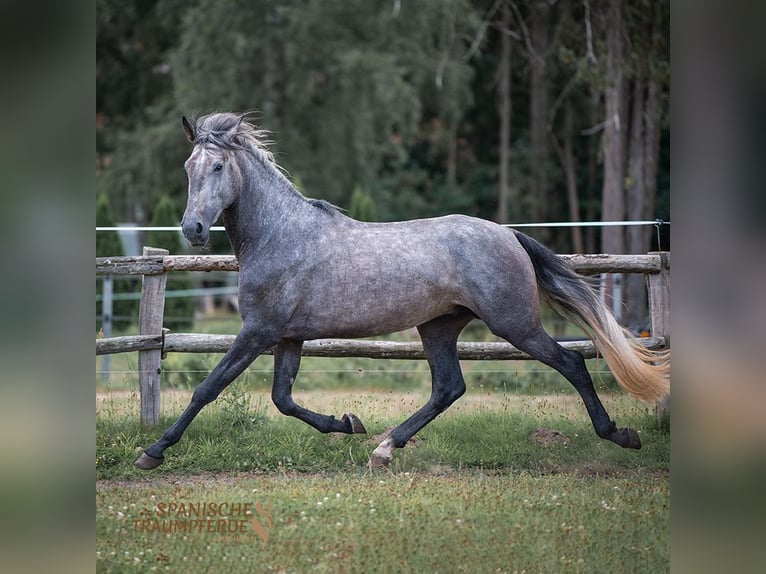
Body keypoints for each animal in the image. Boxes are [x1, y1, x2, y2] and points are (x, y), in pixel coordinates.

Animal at [134, 112, 672, 472]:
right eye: (188, 167)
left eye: (218, 168)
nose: (193, 230)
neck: (279, 234)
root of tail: (508, 234)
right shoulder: (287, 337)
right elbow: (283, 400)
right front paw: (348, 423)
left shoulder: (258, 331)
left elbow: (209, 387)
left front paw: (153, 452)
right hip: (439, 326)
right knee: (448, 388)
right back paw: (385, 446)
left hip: (514, 323)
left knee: (573, 363)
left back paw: (621, 435)